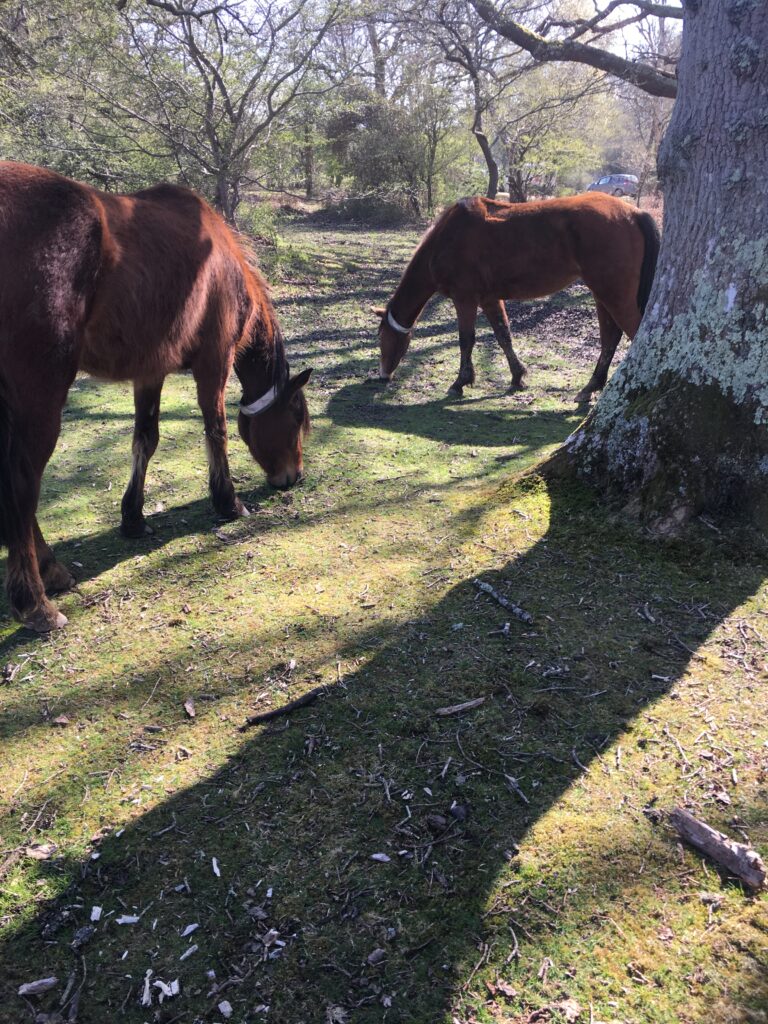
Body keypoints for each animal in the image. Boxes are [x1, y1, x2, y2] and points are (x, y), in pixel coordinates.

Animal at [0, 162, 313, 633]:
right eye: (295, 417)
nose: (293, 476)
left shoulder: (149, 371)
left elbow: (145, 440)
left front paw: (133, 517)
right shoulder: (213, 362)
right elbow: (216, 431)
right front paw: (228, 501)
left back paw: (50, 570)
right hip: (41, 395)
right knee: (20, 482)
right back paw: (36, 601)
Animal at [373, 192, 660, 401]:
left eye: (381, 336)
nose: (383, 375)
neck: (447, 237)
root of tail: (633, 212)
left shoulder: (464, 298)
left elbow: (466, 339)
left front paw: (460, 382)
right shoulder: (489, 299)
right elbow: (503, 335)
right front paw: (517, 376)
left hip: (615, 295)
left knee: (634, 332)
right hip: (603, 295)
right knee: (610, 339)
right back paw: (590, 388)